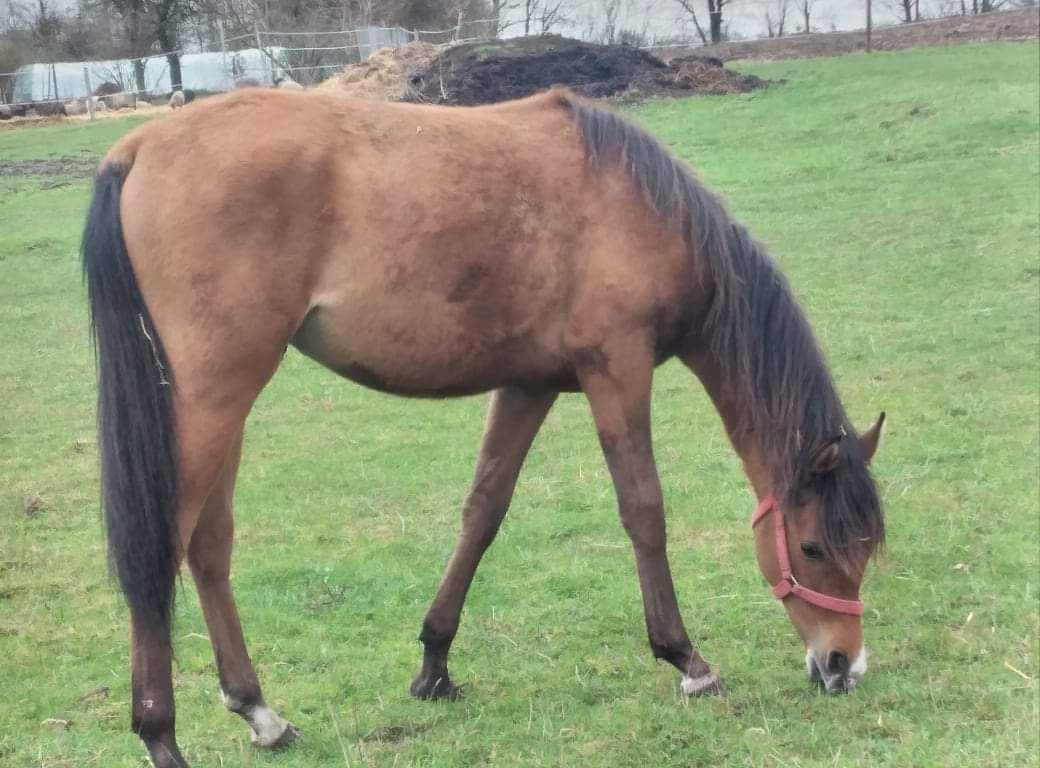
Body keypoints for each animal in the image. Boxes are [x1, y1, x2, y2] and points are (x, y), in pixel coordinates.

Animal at [81, 86, 886, 765]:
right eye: (812, 548)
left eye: (866, 549)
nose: (843, 666)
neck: (638, 205)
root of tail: (138, 147)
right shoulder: (617, 371)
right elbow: (644, 511)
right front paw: (686, 659)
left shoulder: (529, 385)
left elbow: (482, 512)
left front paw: (434, 665)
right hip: (214, 396)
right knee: (163, 545)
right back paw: (160, 734)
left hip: (223, 404)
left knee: (208, 546)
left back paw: (260, 713)